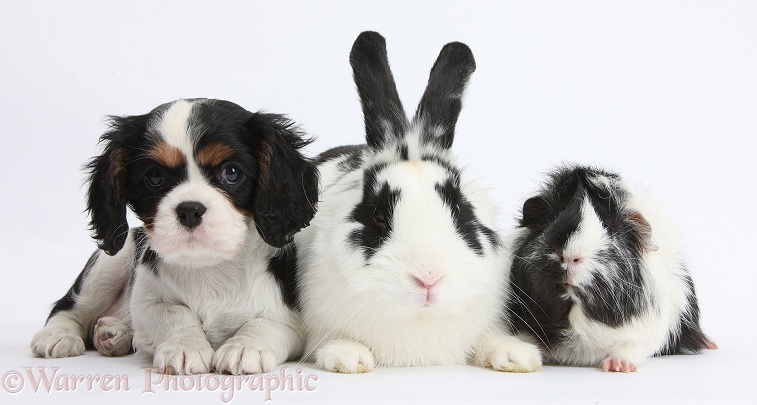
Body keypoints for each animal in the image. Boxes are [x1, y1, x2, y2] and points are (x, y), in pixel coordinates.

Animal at [29, 97, 318, 372]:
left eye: (232, 172)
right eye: (155, 177)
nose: (189, 210)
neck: (208, 266)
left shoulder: (292, 321)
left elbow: (265, 323)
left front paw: (245, 347)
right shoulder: (146, 303)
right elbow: (174, 313)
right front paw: (186, 346)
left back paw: (114, 332)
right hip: (114, 259)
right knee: (68, 306)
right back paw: (59, 334)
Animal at [508, 165, 716, 372]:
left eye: (609, 228)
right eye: (551, 221)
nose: (569, 256)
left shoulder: (643, 332)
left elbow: (630, 348)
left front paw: (618, 366)